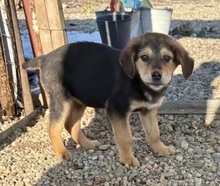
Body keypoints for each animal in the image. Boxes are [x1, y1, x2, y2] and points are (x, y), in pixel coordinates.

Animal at [22, 32, 194, 167]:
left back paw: (88, 144)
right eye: (144, 57)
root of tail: (45, 58)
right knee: (53, 127)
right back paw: (61, 152)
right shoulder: (117, 109)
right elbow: (125, 137)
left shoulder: (149, 110)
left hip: (80, 99)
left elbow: (154, 132)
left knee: (71, 124)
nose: (156, 75)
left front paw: (161, 149)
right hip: (61, 99)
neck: (138, 81)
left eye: (167, 58)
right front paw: (128, 159)